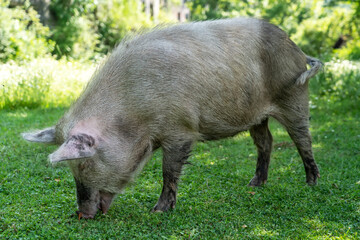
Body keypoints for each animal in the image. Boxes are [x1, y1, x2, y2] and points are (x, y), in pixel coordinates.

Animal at [21, 17, 324, 218]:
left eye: (83, 164)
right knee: (266, 142)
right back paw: (254, 184)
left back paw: (311, 183)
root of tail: (296, 48)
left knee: (303, 139)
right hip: (256, 116)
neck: (133, 115)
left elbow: (169, 171)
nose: (81, 214)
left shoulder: (181, 129)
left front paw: (158, 211)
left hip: (295, 96)